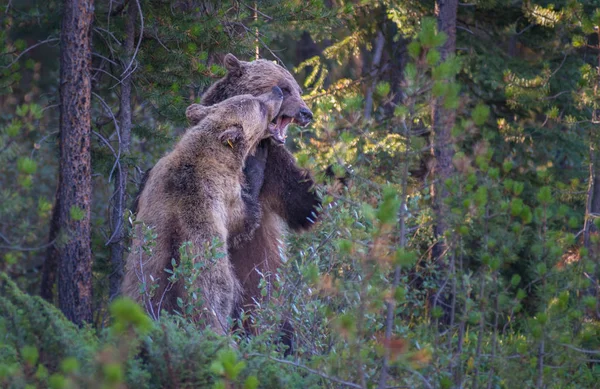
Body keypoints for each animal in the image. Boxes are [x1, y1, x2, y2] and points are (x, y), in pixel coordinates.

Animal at [121, 88, 284, 334]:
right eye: (260, 106)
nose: (278, 91)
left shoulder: (154, 179)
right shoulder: (225, 196)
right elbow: (244, 219)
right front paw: (259, 156)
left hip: (139, 286)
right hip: (212, 287)